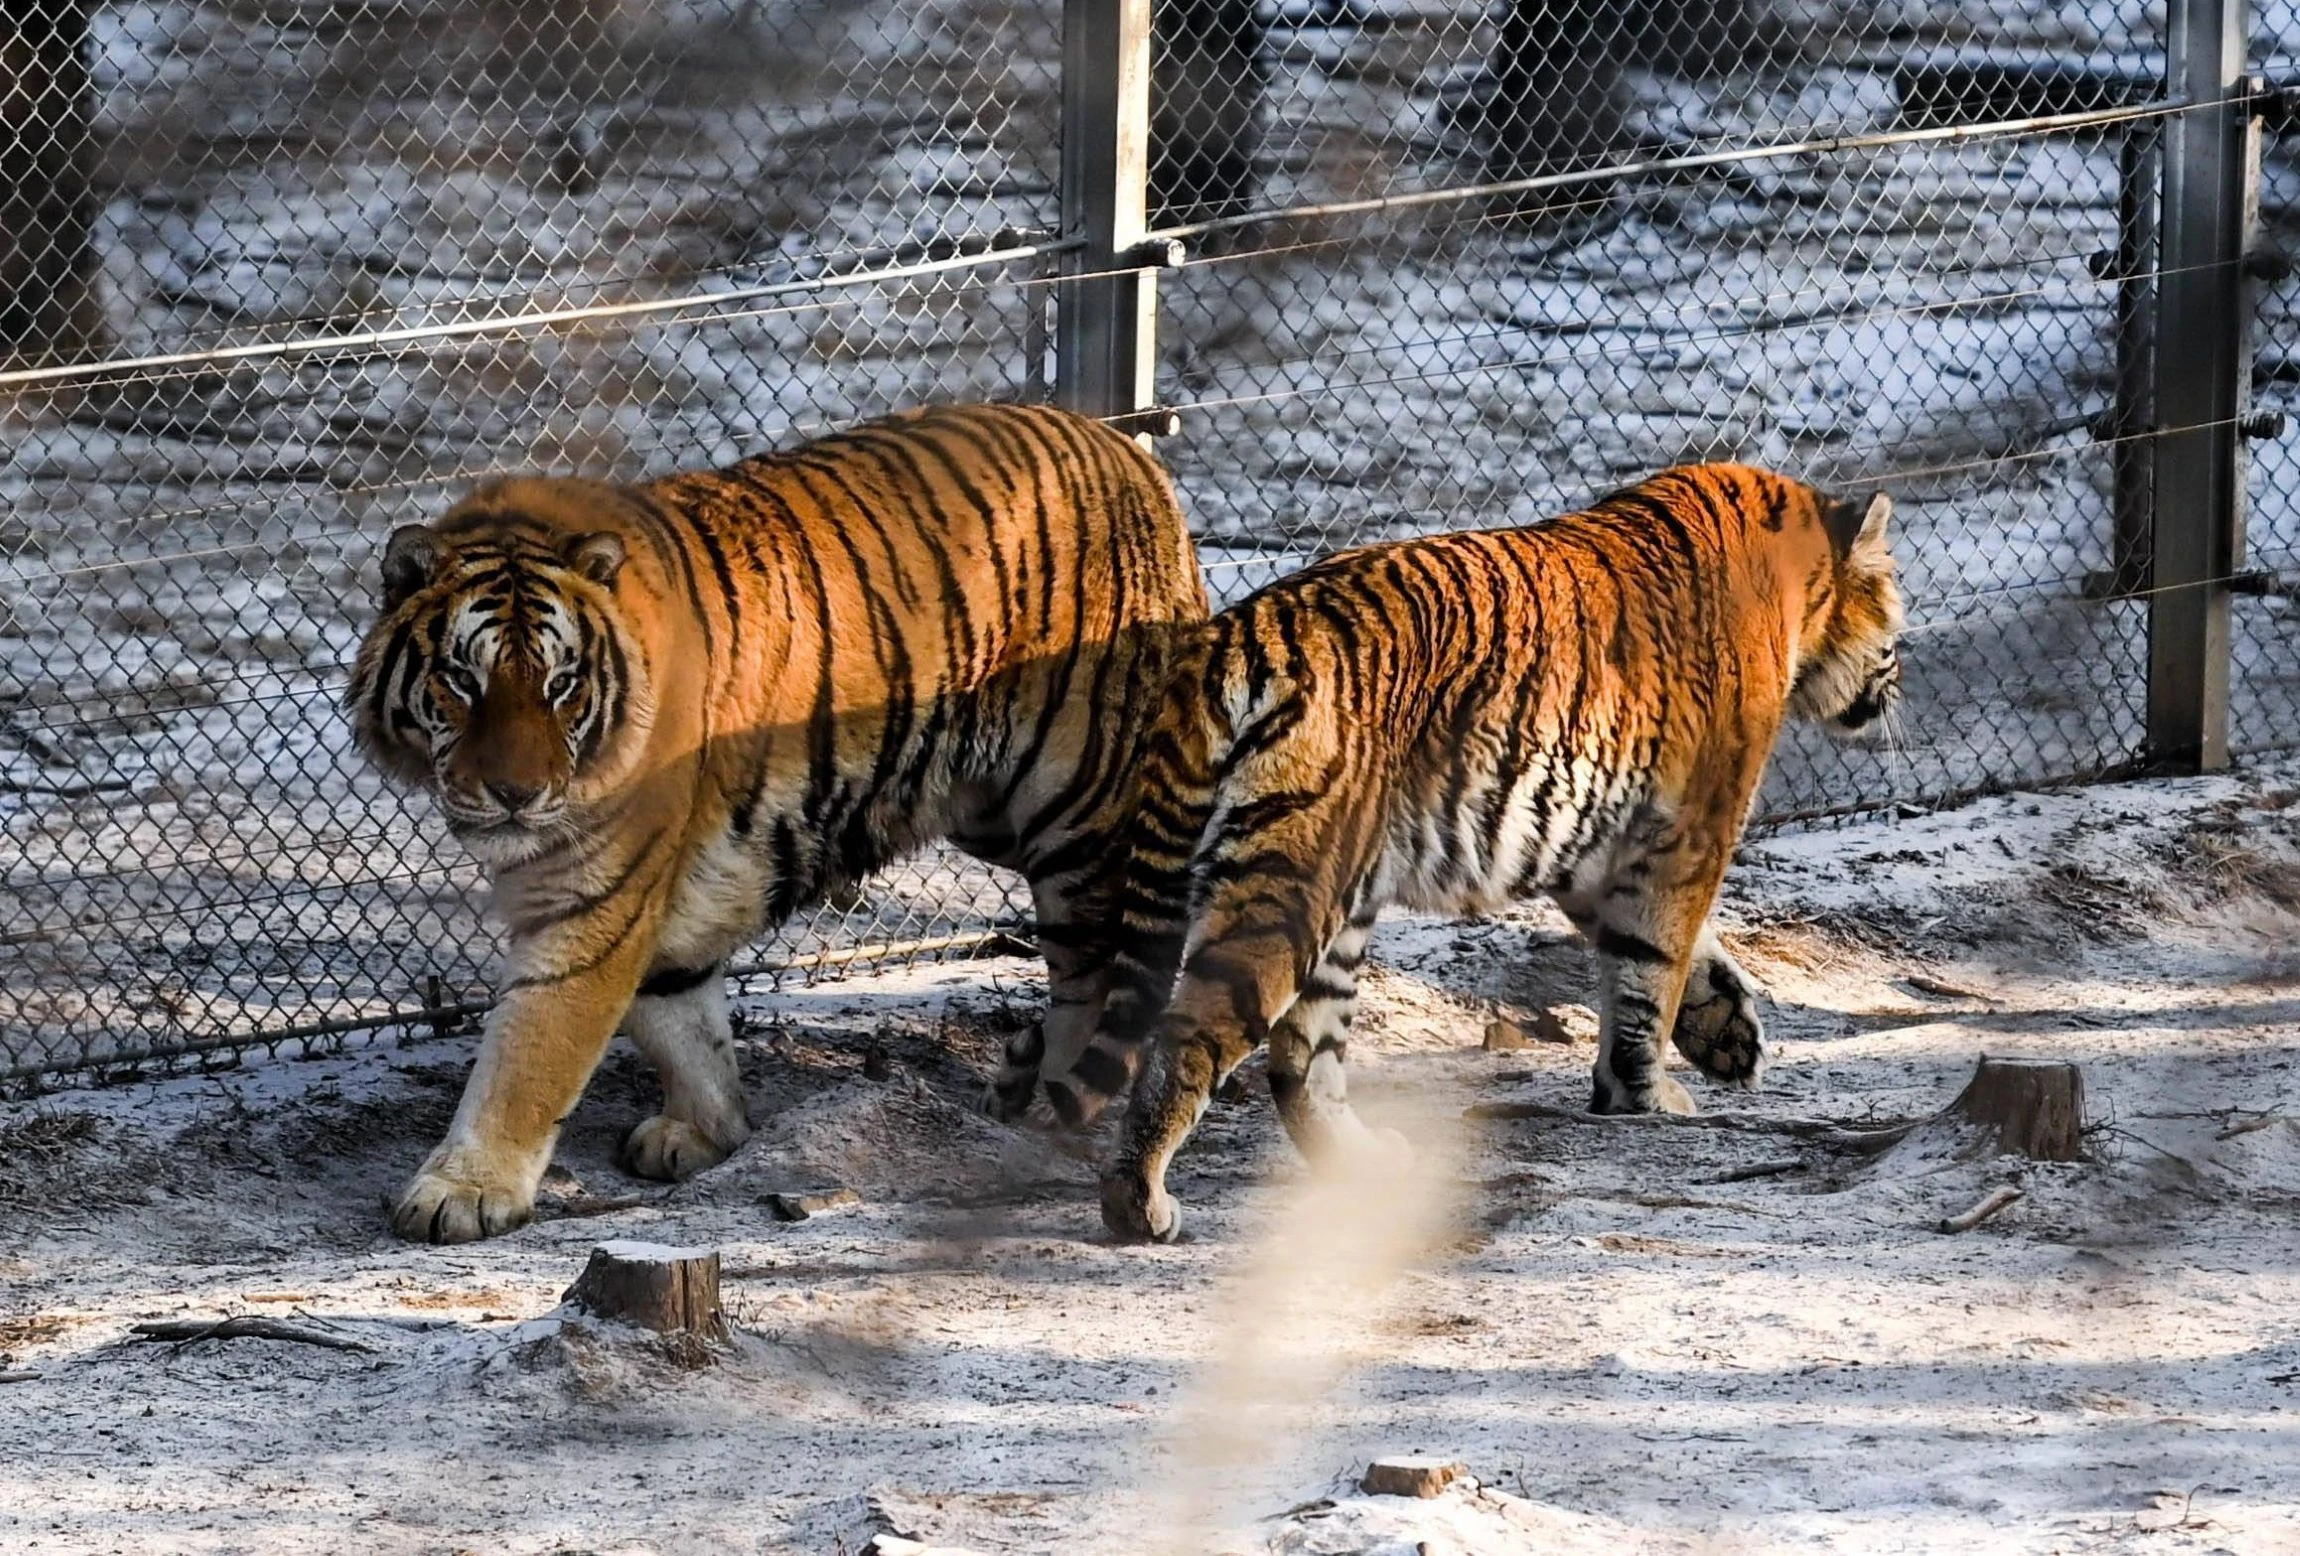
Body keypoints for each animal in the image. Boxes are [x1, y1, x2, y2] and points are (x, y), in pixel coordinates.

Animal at [348, 402, 1208, 1243]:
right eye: (463, 680)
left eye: (562, 685)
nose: (515, 794)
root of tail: (1133, 457)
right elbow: (681, 1015)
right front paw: (708, 1131)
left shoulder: (593, 899)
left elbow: (531, 1049)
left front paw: (464, 1190)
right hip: (991, 810)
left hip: (1079, 810)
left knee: (1103, 969)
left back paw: (1060, 1108)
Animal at [1022, 462, 1904, 1243]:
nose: (1895, 694)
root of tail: (1233, 634)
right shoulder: (1688, 831)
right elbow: (1654, 966)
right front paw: (1648, 1095)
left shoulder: (1597, 849)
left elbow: (1664, 958)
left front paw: (1727, 1039)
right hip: (1292, 892)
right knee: (1191, 1037)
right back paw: (1140, 1204)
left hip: (1339, 893)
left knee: (1301, 1055)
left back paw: (1361, 1163)